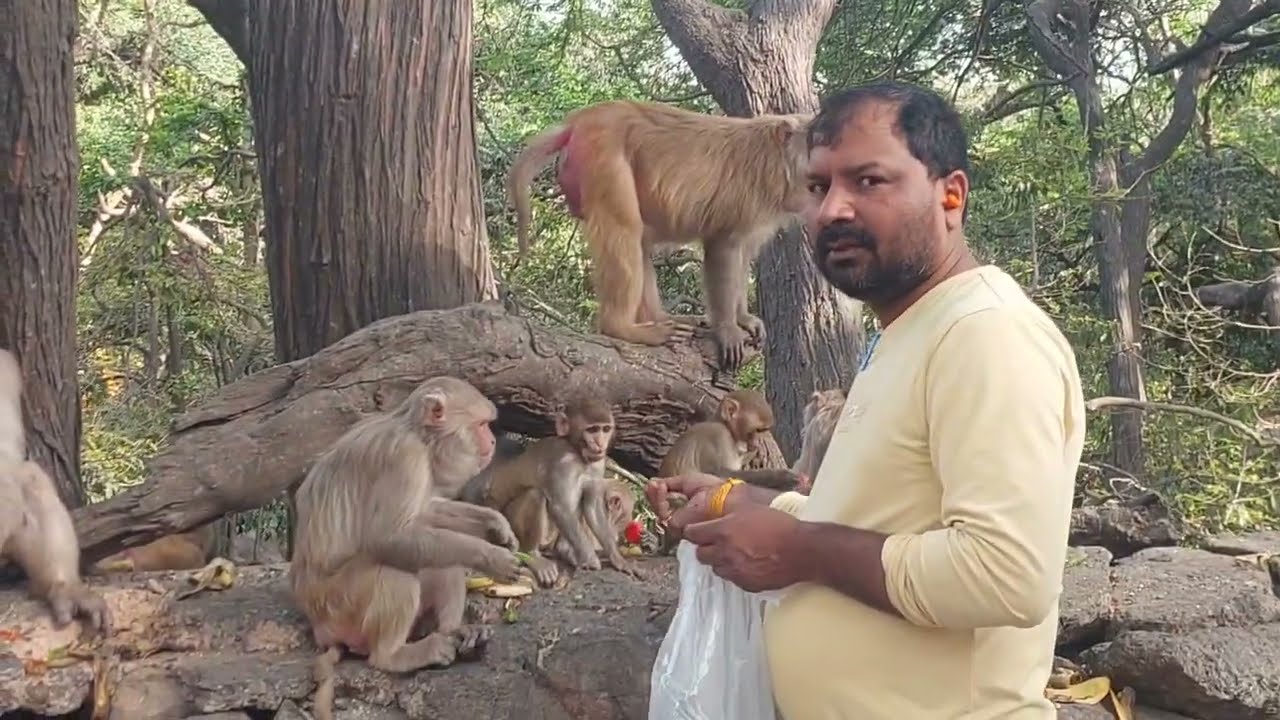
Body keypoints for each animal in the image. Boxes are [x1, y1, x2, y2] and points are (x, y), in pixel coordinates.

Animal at [290, 376, 523, 684]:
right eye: (483, 425)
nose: (494, 440)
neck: (421, 438)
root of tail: (320, 630)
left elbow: (425, 513)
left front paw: (495, 524)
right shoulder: (404, 459)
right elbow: (388, 538)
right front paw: (492, 557)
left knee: (439, 558)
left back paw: (454, 632)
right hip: (339, 605)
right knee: (392, 568)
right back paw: (393, 655)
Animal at [479, 397, 639, 587]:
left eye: (605, 429)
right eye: (592, 430)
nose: (600, 444)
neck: (577, 451)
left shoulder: (598, 463)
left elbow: (593, 507)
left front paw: (618, 559)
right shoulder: (563, 461)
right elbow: (561, 508)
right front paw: (590, 559)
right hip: (510, 526)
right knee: (535, 495)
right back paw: (534, 555)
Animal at [507, 100, 813, 370]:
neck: (776, 159)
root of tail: (582, 119)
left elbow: (744, 254)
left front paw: (743, 318)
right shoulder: (745, 200)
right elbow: (723, 248)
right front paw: (727, 328)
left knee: (639, 240)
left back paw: (659, 319)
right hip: (603, 156)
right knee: (625, 229)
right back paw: (622, 327)